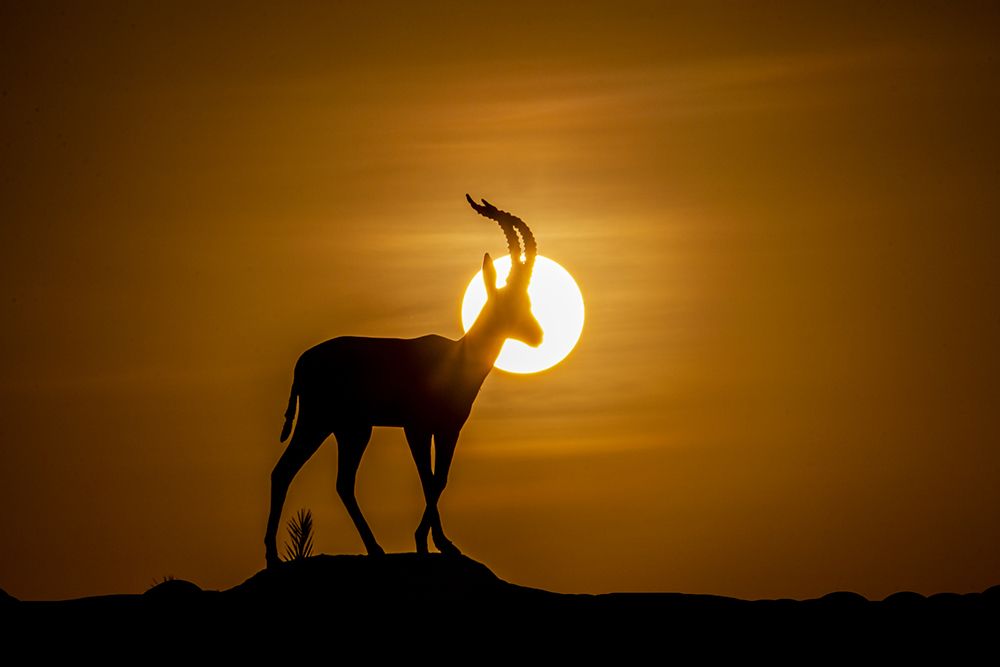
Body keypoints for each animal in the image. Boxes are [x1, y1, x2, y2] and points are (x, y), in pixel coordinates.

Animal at [264, 195, 543, 567]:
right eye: (511, 301)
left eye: (528, 299)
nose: (538, 335)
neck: (457, 358)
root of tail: (301, 362)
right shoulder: (416, 427)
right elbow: (427, 478)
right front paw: (427, 542)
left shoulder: (449, 429)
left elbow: (440, 479)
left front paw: (440, 543)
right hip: (318, 421)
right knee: (285, 472)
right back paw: (273, 556)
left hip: (350, 429)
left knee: (340, 482)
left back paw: (375, 549)